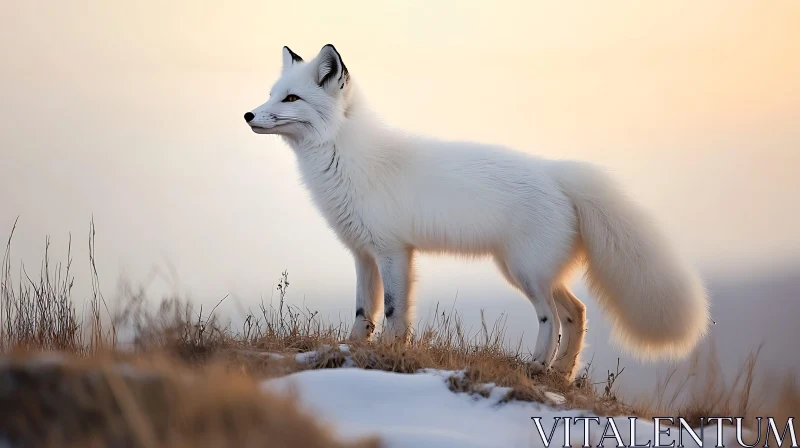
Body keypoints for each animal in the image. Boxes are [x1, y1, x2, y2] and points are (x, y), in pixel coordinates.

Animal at [242, 44, 708, 378]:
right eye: (271, 95)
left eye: (291, 98)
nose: (247, 114)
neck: (346, 158)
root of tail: (555, 171)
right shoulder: (363, 253)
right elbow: (364, 313)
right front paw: (352, 351)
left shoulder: (393, 251)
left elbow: (392, 312)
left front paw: (390, 354)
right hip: (534, 271)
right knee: (577, 312)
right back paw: (560, 373)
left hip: (525, 273)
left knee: (552, 320)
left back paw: (537, 365)